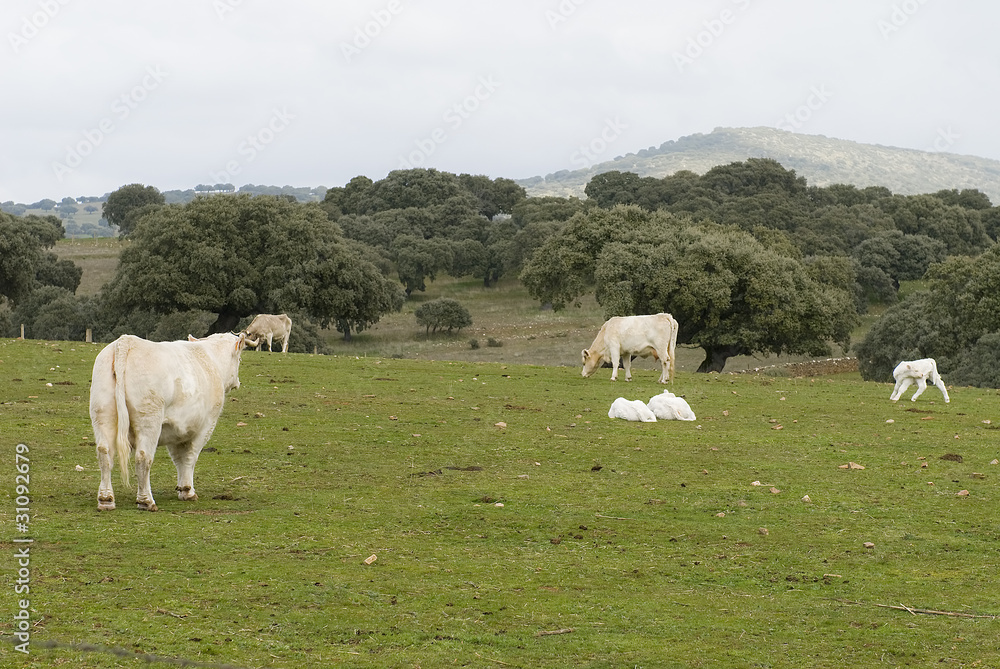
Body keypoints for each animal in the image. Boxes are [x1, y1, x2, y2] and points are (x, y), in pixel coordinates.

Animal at [90, 332, 248, 508]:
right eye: (239, 359)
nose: (238, 382)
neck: (211, 361)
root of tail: (127, 341)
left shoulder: (176, 431)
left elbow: (179, 459)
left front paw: (183, 488)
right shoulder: (206, 426)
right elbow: (190, 457)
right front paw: (188, 491)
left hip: (102, 414)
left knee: (105, 454)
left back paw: (106, 499)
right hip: (149, 420)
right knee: (143, 457)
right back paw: (146, 500)